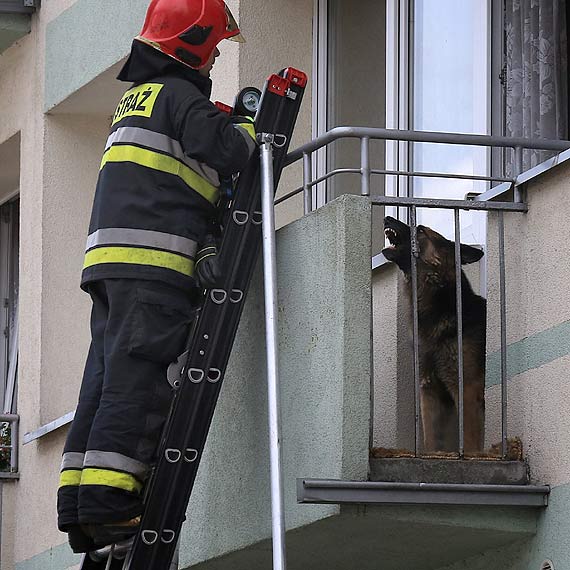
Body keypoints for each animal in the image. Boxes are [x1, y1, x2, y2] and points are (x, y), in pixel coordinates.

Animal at [380, 215, 486, 450]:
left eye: (420, 230)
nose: (387, 218)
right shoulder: (429, 391)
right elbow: (431, 441)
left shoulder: (467, 389)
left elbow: (471, 443)